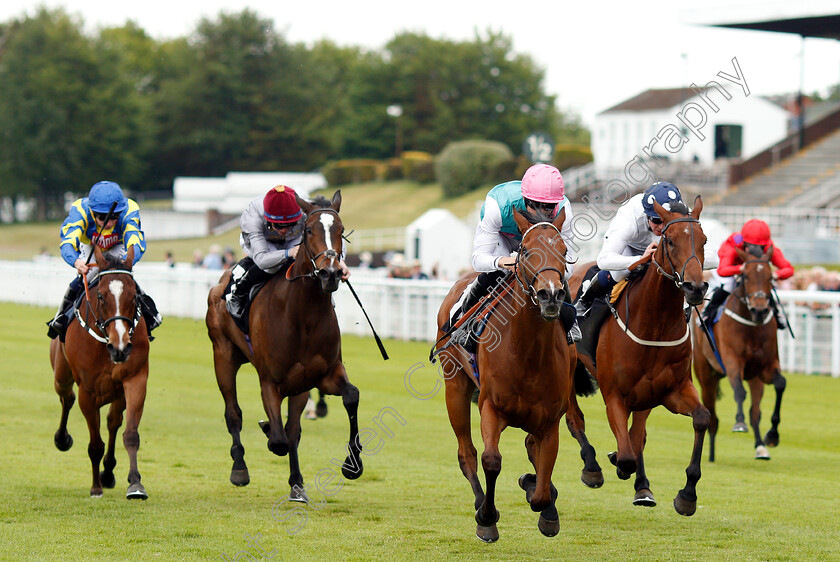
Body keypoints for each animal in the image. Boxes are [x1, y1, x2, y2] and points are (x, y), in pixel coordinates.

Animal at [50, 243, 150, 496]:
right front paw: (95, 488)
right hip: (61, 375)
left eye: (134, 295)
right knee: (67, 397)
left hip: (117, 392)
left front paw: (135, 485)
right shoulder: (88, 392)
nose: (121, 347)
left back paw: (109, 471)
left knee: (113, 421)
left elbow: (130, 434)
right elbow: (95, 444)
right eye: (101, 295)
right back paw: (62, 439)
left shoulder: (135, 378)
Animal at [205, 190, 362, 496]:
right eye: (309, 230)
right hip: (223, 355)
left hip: (298, 383)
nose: (331, 273)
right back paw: (239, 468)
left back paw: (297, 483)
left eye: (340, 231)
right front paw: (267, 428)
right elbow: (277, 439)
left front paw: (352, 465)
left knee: (292, 429)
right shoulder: (270, 380)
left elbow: (351, 395)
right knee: (233, 413)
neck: (303, 314)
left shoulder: (320, 374)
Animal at [434, 207, 604, 544]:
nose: (550, 295)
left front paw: (543, 502)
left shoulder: (549, 420)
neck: (527, 354)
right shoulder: (490, 407)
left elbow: (542, 480)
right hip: (455, 386)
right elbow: (491, 460)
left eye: (564, 250)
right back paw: (480, 503)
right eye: (526, 251)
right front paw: (487, 517)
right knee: (466, 452)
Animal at [568, 196, 712, 512]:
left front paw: (687, 495)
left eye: (705, 240)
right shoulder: (614, 396)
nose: (695, 287)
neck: (655, 325)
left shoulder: (672, 390)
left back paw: (642, 487)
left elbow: (701, 418)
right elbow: (625, 456)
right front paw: (616, 461)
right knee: (575, 418)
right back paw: (592, 467)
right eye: (669, 241)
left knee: (638, 434)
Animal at [692, 245, 784, 460]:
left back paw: (760, 447)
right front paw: (739, 423)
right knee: (712, 415)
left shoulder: (765, 368)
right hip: (706, 374)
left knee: (755, 412)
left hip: (754, 378)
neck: (752, 326)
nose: (760, 310)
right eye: (746, 276)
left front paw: (772, 435)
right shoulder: (732, 360)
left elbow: (780, 384)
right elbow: (739, 391)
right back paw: (711, 455)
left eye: (770, 277)